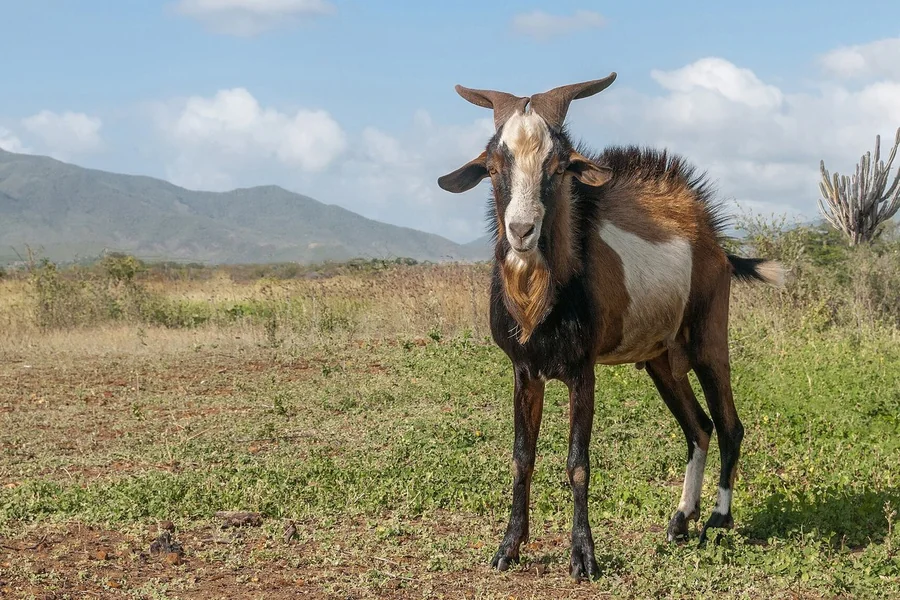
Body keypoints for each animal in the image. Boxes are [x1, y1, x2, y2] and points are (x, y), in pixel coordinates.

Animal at [437, 73, 784, 580]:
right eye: (494, 165)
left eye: (559, 166)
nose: (521, 231)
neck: (541, 301)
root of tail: (716, 244)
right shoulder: (525, 370)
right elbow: (522, 458)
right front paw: (508, 548)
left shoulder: (582, 370)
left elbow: (577, 462)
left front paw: (583, 557)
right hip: (663, 359)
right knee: (698, 427)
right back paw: (680, 521)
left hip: (708, 340)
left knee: (728, 424)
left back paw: (718, 521)